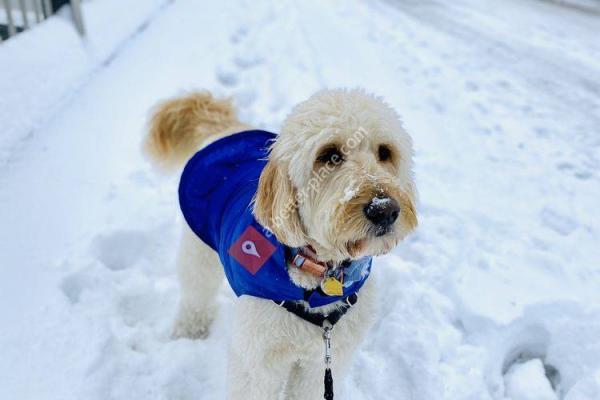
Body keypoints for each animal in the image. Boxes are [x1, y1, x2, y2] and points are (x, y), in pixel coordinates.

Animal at [145, 89, 418, 398]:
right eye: (330, 155)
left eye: (385, 152)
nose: (384, 209)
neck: (320, 272)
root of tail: (227, 126)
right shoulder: (257, 361)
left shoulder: (322, 361)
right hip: (199, 247)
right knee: (196, 289)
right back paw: (189, 330)